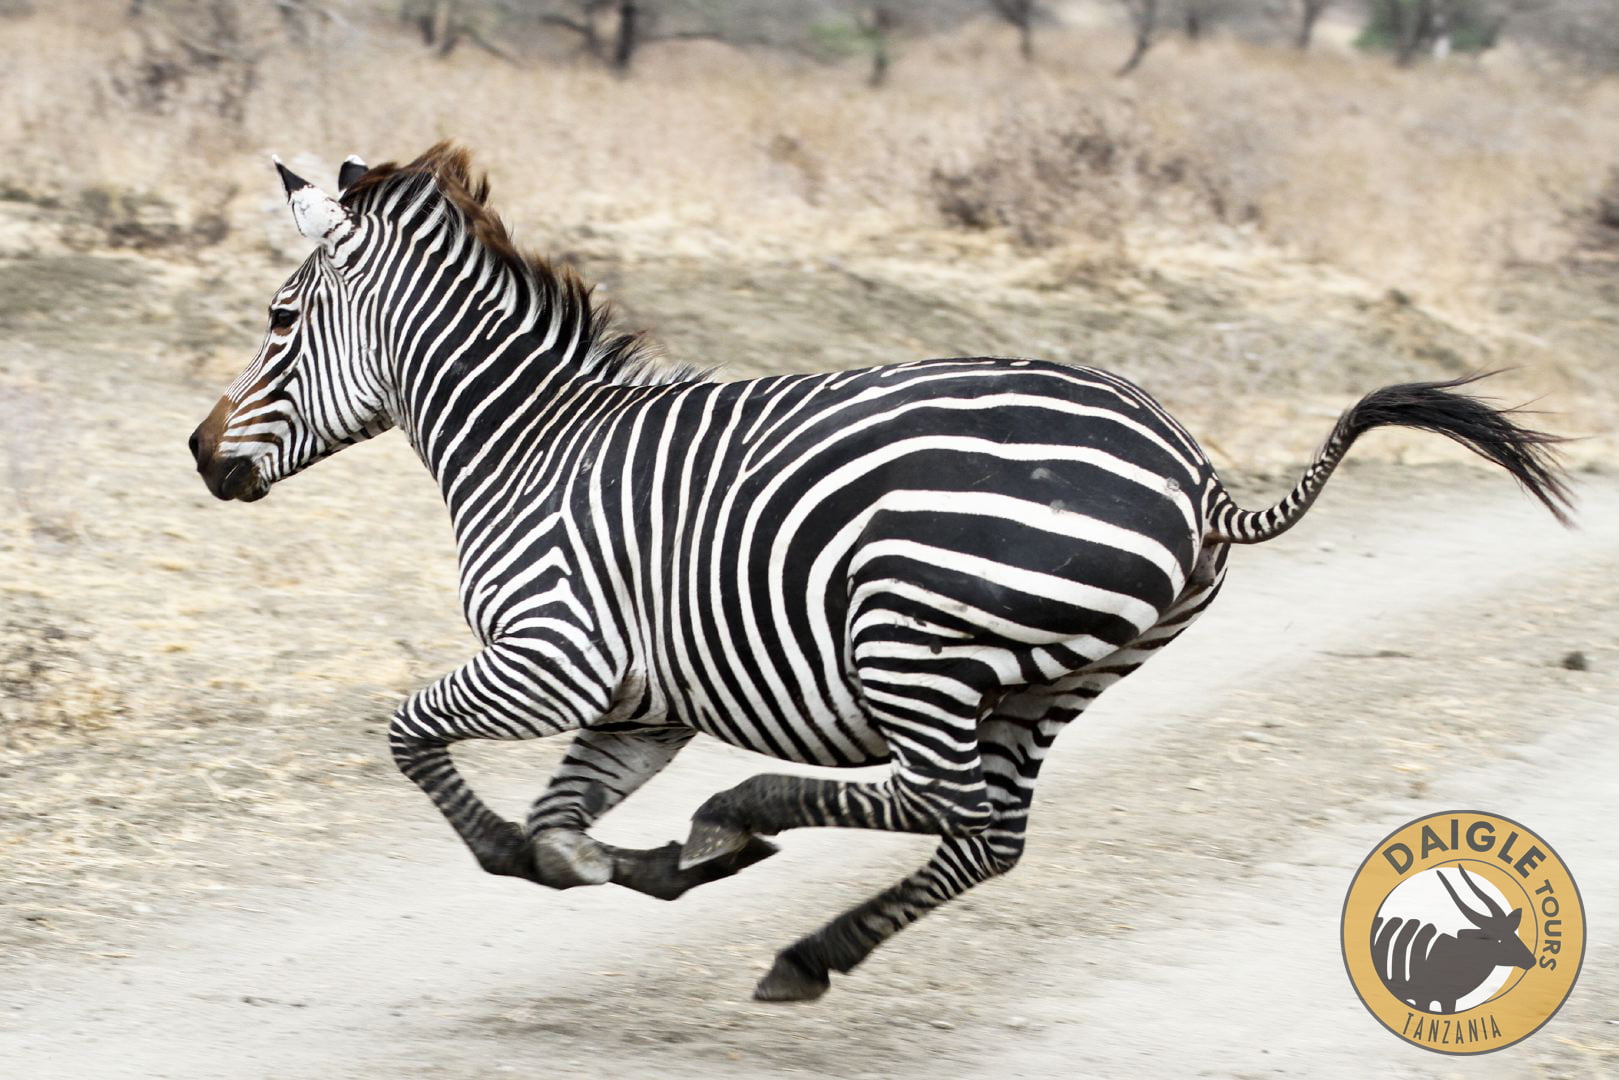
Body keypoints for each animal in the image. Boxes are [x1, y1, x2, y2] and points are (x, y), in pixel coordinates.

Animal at [189, 143, 1573, 1002]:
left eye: (275, 320)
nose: (200, 457)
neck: (525, 445)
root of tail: (1191, 466)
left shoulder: (552, 658)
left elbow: (417, 742)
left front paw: (595, 855)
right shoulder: (639, 701)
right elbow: (558, 824)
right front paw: (632, 867)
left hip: (908, 639)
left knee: (948, 809)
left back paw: (746, 818)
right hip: (1051, 682)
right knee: (987, 836)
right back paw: (799, 938)